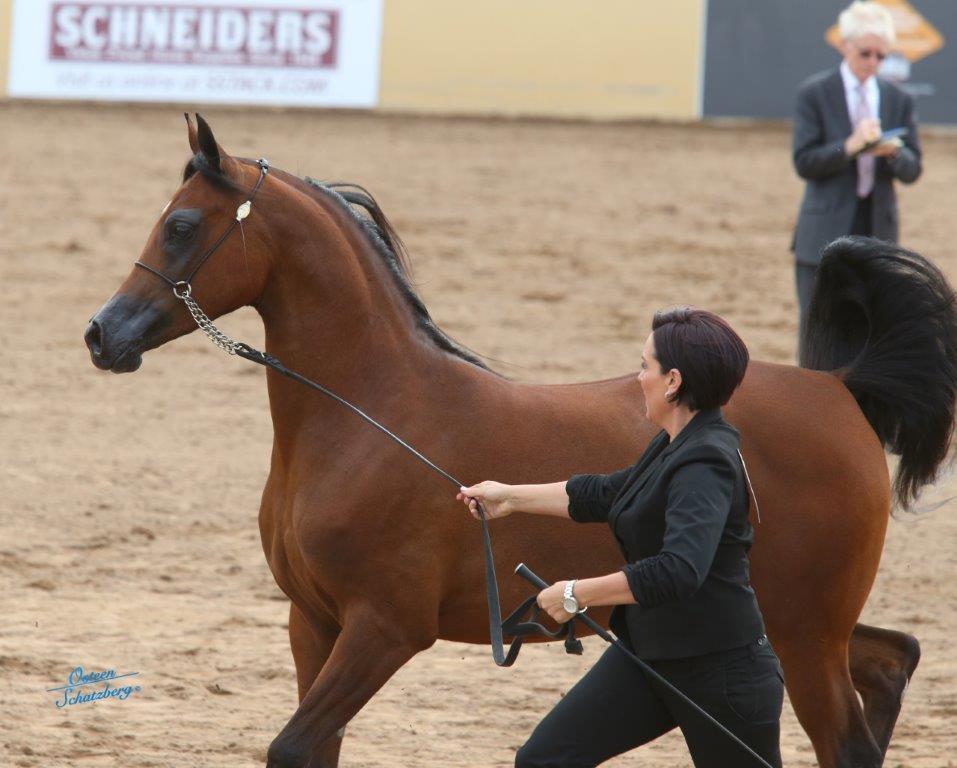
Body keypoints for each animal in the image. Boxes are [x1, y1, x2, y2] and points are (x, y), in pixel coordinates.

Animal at [84, 114, 956, 768]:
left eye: (181, 225)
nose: (101, 335)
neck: (370, 418)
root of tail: (836, 387)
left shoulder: (384, 629)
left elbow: (293, 747)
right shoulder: (314, 623)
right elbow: (314, 748)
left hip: (805, 633)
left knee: (847, 733)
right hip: (794, 620)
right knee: (892, 658)